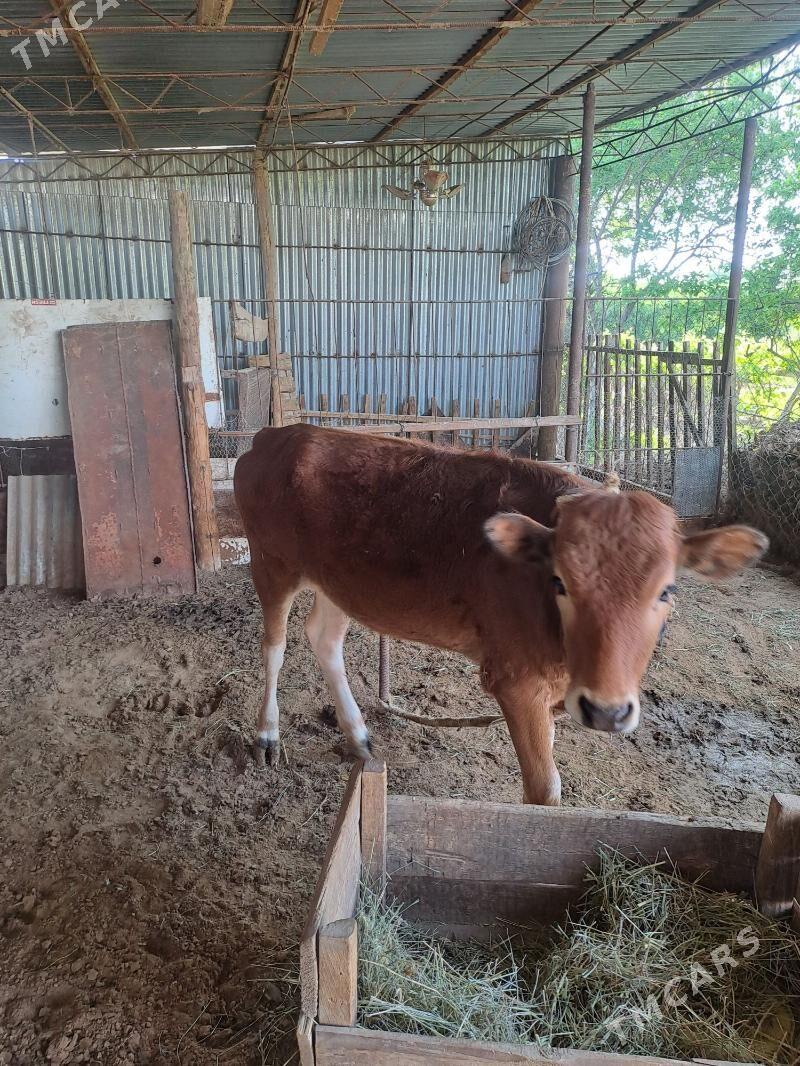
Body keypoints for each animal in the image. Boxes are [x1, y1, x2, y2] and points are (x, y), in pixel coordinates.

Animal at [233, 424, 767, 805]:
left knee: (324, 638)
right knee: (274, 645)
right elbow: (544, 789)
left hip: (338, 582)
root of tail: (276, 434)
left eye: (667, 590)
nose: (608, 712)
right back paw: (266, 735)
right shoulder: (516, 679)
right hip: (271, 562)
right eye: (560, 582)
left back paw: (358, 735)